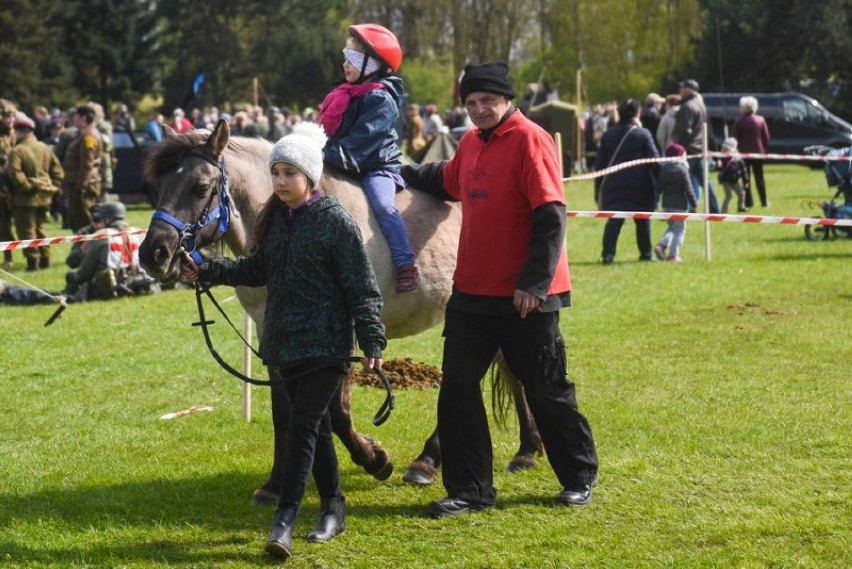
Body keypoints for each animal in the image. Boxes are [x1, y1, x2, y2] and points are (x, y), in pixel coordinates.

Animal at [136, 118, 544, 502]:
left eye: (200, 187)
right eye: (160, 186)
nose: (153, 253)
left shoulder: (342, 333)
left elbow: (336, 413)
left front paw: (375, 458)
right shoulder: (273, 336)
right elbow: (284, 414)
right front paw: (274, 485)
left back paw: (433, 460)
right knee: (505, 370)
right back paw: (523, 449)